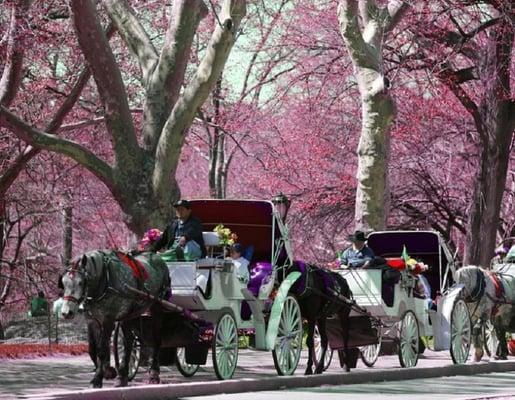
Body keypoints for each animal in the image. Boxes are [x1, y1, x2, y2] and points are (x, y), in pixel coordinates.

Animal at [60, 250, 169, 388]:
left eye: (81, 282)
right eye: (63, 282)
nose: (66, 312)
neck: (103, 280)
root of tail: (157, 256)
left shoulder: (108, 320)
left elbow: (102, 349)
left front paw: (98, 378)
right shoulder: (92, 320)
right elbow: (94, 349)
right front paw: (107, 371)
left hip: (157, 308)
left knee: (156, 340)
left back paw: (154, 373)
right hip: (129, 314)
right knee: (129, 342)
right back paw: (122, 376)